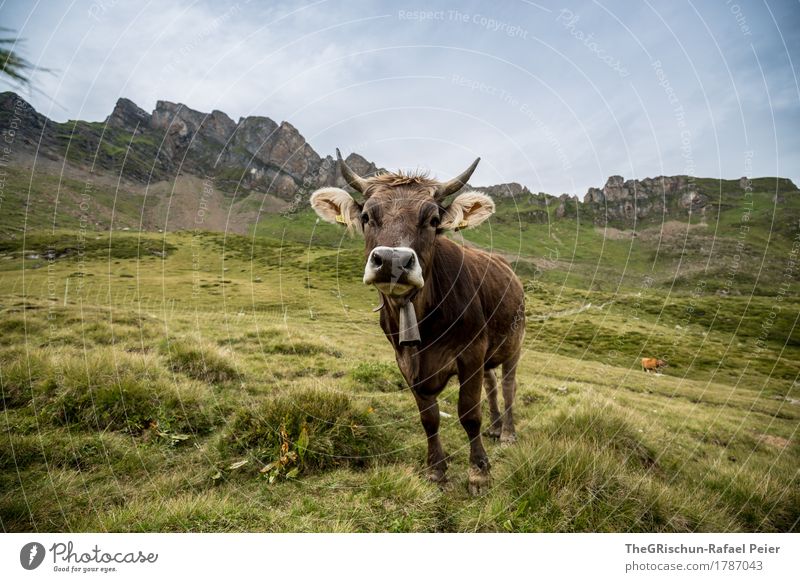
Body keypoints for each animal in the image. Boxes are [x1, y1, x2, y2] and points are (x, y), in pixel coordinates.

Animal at [310, 152, 524, 498]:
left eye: (434, 220)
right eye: (367, 216)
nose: (392, 261)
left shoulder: (471, 352)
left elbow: (468, 413)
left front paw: (479, 473)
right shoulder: (406, 360)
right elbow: (429, 418)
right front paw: (436, 470)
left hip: (514, 343)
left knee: (507, 386)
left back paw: (506, 432)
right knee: (491, 385)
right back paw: (494, 428)